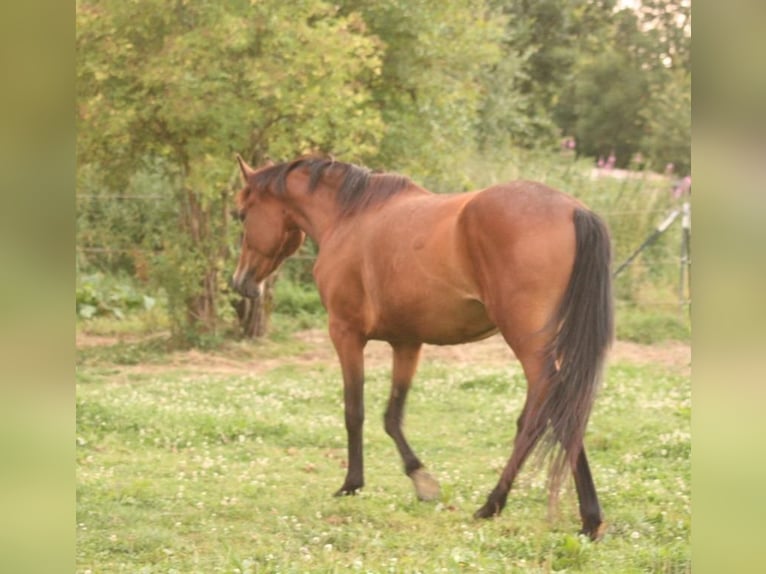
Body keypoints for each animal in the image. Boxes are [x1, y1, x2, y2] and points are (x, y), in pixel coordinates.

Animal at [231, 155, 616, 544]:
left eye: (242, 215)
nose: (240, 282)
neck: (350, 216)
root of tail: (574, 210)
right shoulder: (406, 342)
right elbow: (392, 416)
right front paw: (421, 478)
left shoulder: (346, 334)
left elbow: (354, 412)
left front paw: (352, 483)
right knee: (563, 410)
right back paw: (582, 516)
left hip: (528, 344)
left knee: (547, 410)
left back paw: (498, 504)